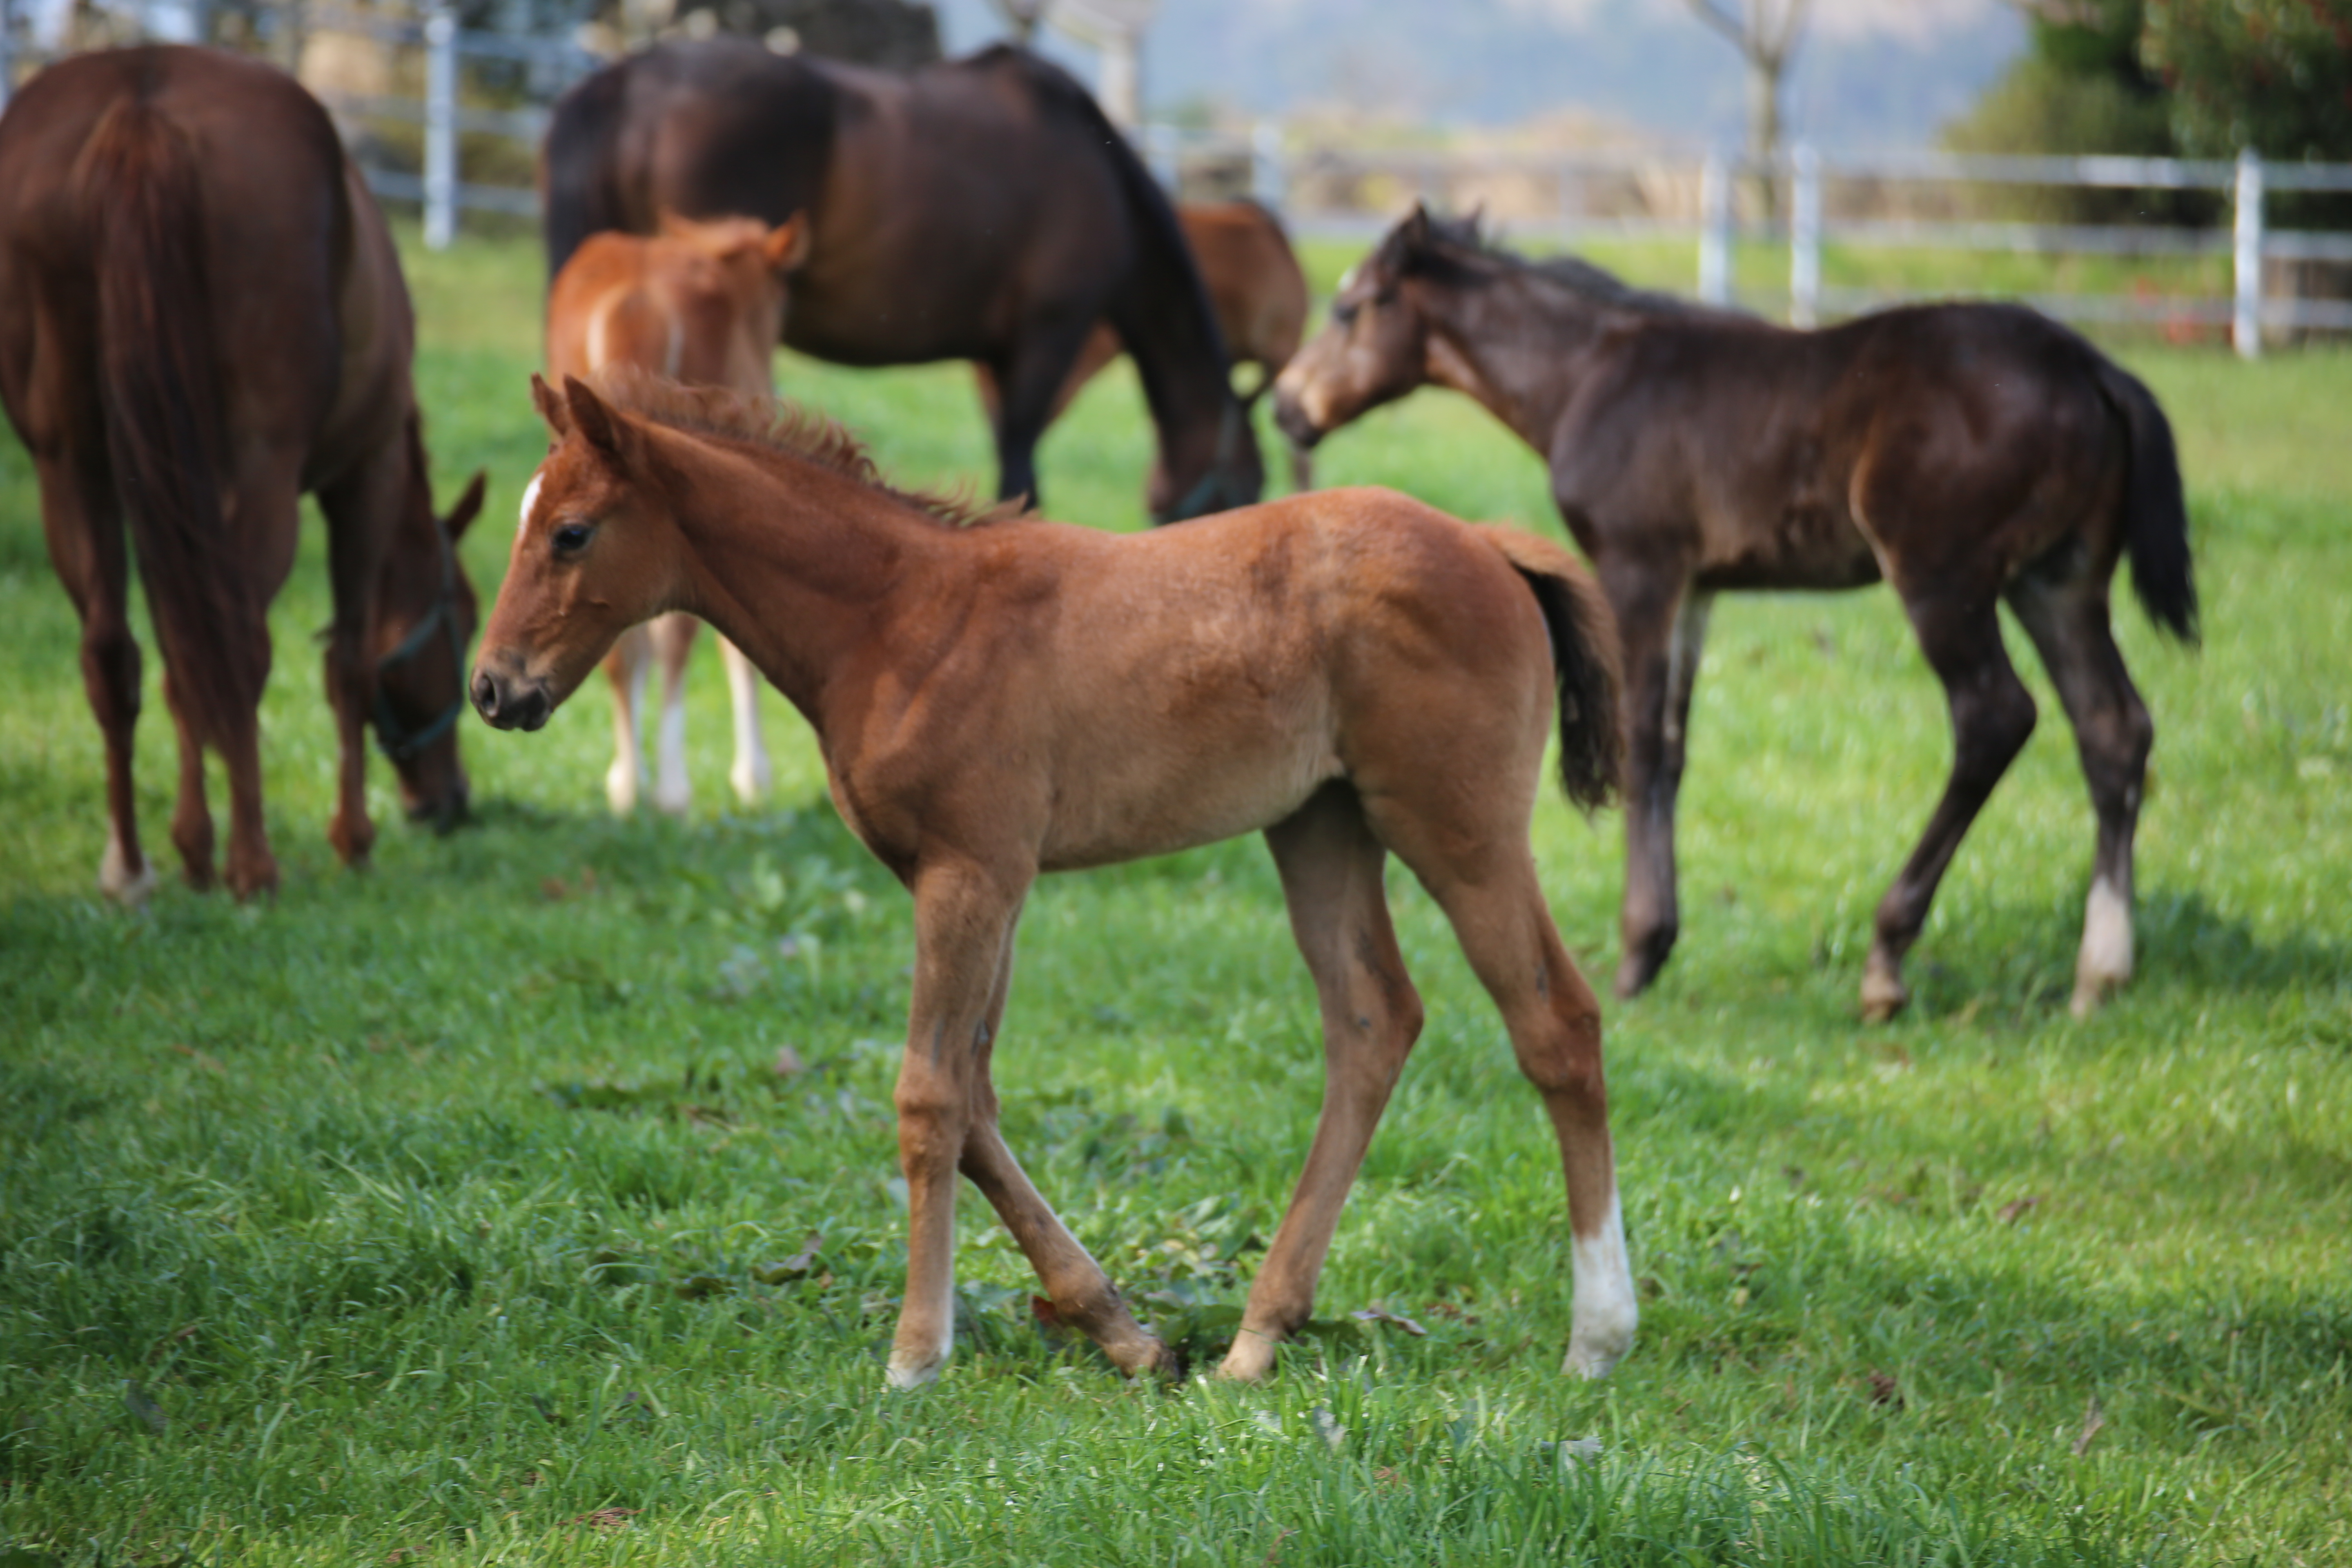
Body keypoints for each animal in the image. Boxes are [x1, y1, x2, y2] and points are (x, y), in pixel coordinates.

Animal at [0, 49, 484, 902]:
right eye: (466, 609)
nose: (450, 801)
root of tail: (142, 101)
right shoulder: (366, 473)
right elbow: (348, 661)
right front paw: (350, 841)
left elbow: (179, 657)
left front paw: (193, 851)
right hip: (263, 470)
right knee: (242, 649)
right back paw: (254, 862)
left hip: (72, 463)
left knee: (117, 653)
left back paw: (132, 867)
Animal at [475, 374, 1637, 1392]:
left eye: (570, 531)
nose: (493, 689)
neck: (897, 619)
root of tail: (1490, 543)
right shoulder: (988, 882)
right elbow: (976, 1097)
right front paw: (1123, 1334)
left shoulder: (969, 873)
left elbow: (930, 1095)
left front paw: (915, 1357)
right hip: (1319, 827)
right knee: (1371, 1020)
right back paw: (1256, 1339)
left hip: (1459, 829)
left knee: (1557, 1023)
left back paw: (1596, 1336)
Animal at [546, 210, 813, 818]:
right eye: (782, 300)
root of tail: (635, 300)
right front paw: (753, 776)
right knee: (676, 638)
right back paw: (671, 787)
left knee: (622, 646)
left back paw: (628, 784)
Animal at [1279, 205, 2192, 1020]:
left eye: (1352, 307)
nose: (1288, 406)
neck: (1588, 377)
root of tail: (2091, 366)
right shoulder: (1698, 589)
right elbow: (1675, 748)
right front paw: (1659, 940)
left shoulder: (1640, 568)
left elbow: (1642, 743)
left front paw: (1637, 953)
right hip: (2058, 580)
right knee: (2113, 726)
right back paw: (2100, 973)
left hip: (1943, 575)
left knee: (1995, 717)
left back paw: (1887, 959)